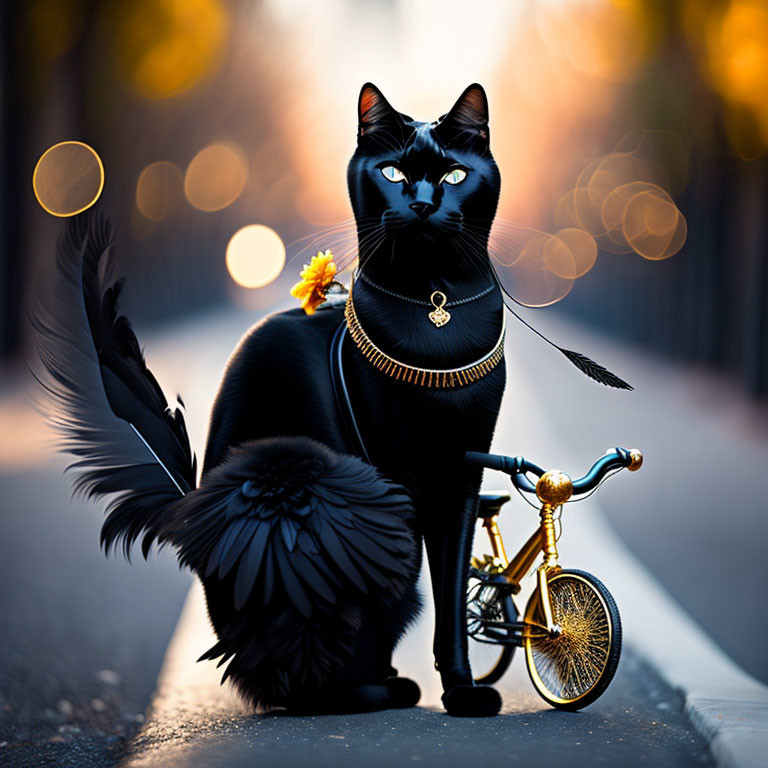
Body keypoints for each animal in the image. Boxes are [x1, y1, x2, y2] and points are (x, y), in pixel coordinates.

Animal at [34, 85, 510, 720]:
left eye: (455, 174)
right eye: (392, 173)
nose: (423, 205)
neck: (436, 310)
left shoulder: (464, 466)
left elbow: (454, 589)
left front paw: (462, 689)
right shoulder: (399, 466)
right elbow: (433, 586)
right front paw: (438, 688)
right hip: (307, 483)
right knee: (329, 665)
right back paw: (372, 689)